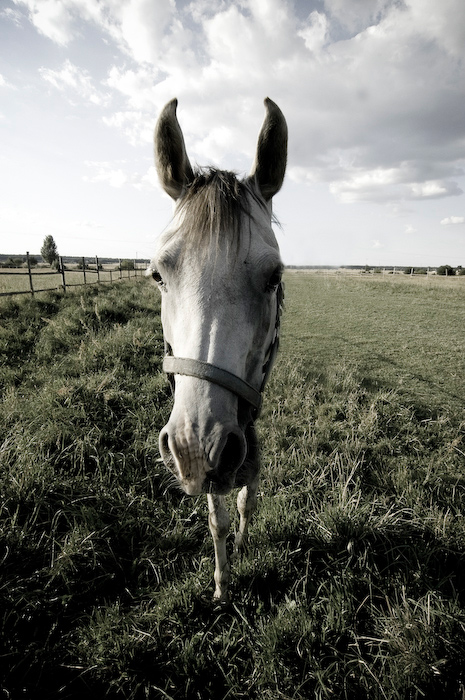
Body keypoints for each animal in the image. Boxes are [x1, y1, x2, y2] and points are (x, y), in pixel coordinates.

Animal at [149, 98, 286, 600]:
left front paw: (244, 544)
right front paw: (224, 585)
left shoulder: (246, 427)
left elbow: (247, 497)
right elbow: (217, 520)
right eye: (157, 274)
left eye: (274, 277)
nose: (197, 445)